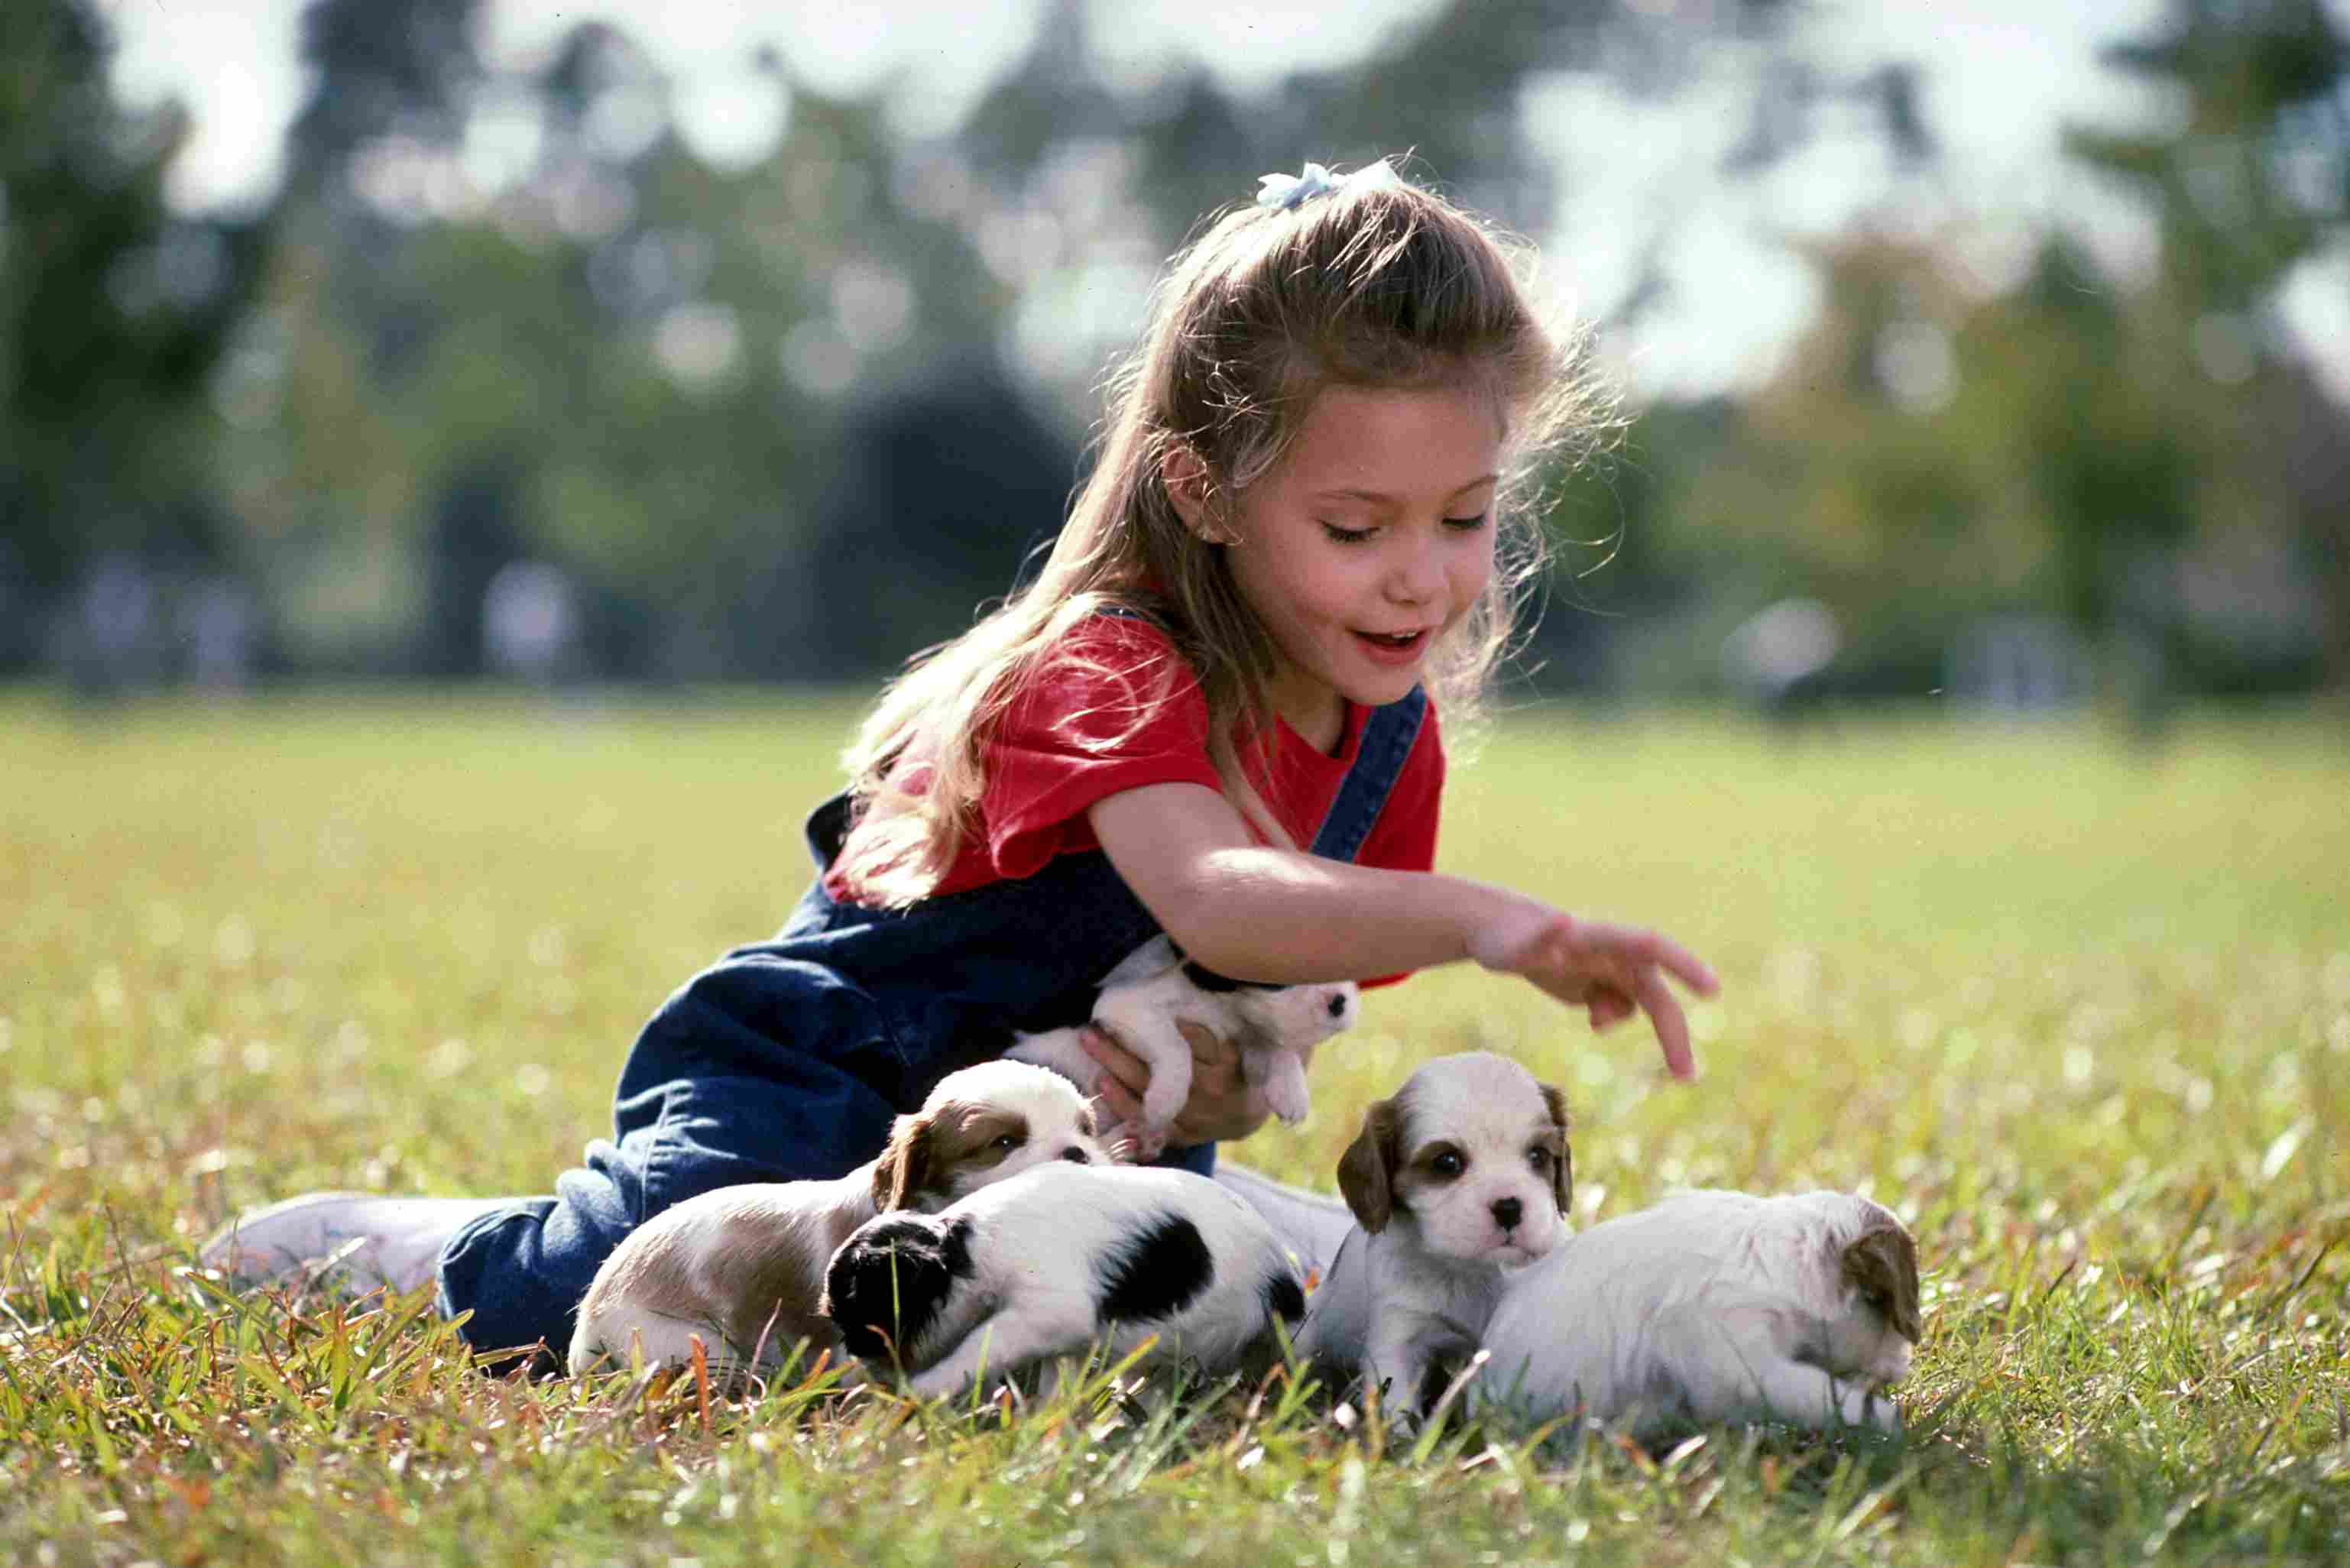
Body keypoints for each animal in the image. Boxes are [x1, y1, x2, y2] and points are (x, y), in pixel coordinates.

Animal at [822, 1161, 1306, 1401]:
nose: (856, 1354)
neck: (964, 1245)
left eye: (859, 1315)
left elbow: (980, 1345)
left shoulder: (1045, 1311)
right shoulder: (1062, 1343)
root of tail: (1285, 1276)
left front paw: (922, 1389)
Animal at [1006, 940, 1363, 1161]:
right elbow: (1177, 1047)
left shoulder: (1246, 1031)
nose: (1339, 1002)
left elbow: (1274, 1044)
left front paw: (1292, 1093)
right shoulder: (1126, 1008)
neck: (1223, 1002)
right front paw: (1165, 1100)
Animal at [1297, 1053, 1570, 1420]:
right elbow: (1395, 1400)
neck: (1472, 1269)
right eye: (1447, 1161)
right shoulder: (1399, 1332)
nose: (1510, 1207)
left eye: (1538, 1155)